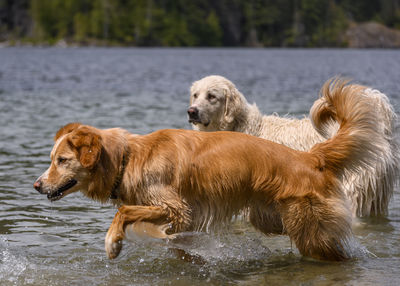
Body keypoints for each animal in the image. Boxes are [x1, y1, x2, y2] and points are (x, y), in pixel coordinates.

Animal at [32, 79, 382, 262]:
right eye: (52, 159)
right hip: (271, 218)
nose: (36, 185)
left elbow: (125, 212)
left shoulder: (176, 207)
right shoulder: (183, 219)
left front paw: (113, 243)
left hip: (307, 227)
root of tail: (310, 157)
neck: (128, 158)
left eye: (61, 160)